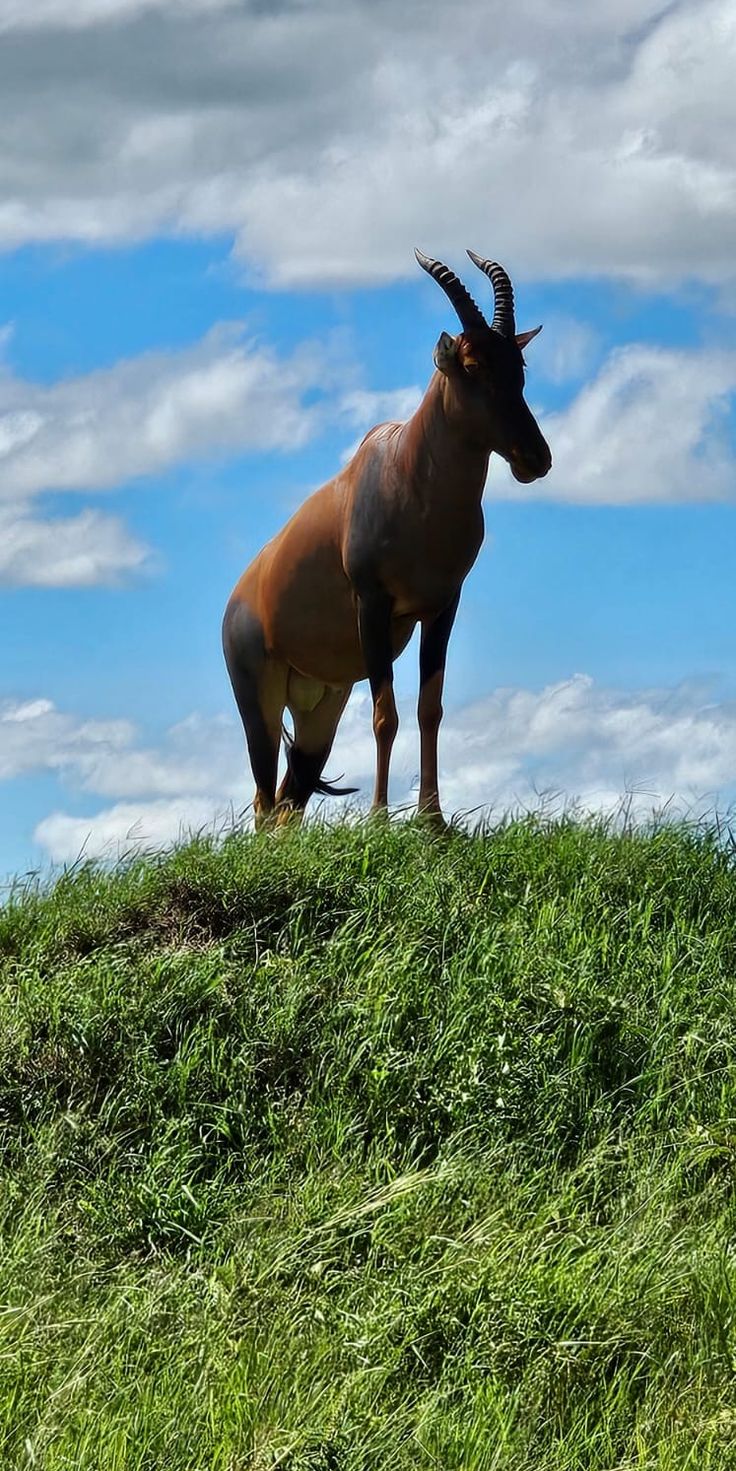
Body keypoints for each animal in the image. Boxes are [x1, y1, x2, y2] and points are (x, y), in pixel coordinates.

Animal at [223, 248, 553, 835]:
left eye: (519, 366)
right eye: (472, 365)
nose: (534, 458)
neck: (405, 470)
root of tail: (238, 597)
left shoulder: (442, 606)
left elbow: (429, 709)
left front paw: (433, 820)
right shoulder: (372, 604)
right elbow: (385, 714)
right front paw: (379, 820)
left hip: (320, 708)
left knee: (288, 802)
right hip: (257, 696)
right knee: (263, 800)